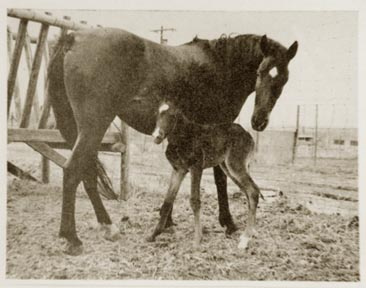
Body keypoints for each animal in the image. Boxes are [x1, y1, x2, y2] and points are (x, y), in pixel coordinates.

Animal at [147, 100, 262, 248]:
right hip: (228, 168)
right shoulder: (178, 170)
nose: (157, 135)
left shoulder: (196, 167)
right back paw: (252, 232)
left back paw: (245, 238)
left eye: (172, 116)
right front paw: (153, 235)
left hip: (235, 165)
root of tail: (249, 136)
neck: (183, 136)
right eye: (157, 114)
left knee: (253, 191)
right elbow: (168, 201)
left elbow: (195, 200)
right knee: (250, 192)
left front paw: (197, 240)